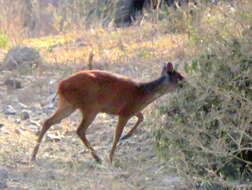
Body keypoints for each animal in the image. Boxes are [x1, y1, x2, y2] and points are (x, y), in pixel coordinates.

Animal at [32, 62, 185, 163]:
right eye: (180, 78)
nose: (187, 85)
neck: (143, 93)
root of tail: (60, 86)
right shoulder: (125, 111)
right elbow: (117, 135)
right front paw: (111, 157)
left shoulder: (131, 110)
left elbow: (141, 117)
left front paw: (127, 136)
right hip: (90, 107)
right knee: (80, 130)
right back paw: (98, 158)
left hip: (68, 104)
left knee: (48, 121)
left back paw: (33, 156)